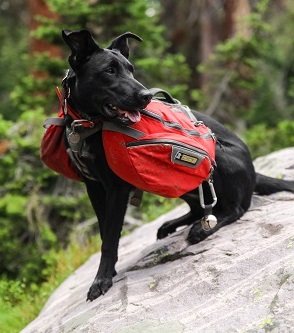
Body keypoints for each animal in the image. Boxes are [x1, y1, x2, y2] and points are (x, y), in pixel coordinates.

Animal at [61, 29, 294, 300]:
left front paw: (101, 280)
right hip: (178, 181)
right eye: (109, 71)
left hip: (215, 158)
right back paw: (175, 224)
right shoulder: (94, 186)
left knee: (235, 208)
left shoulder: (116, 188)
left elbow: (109, 238)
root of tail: (254, 172)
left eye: (131, 69)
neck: (88, 125)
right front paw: (108, 272)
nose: (146, 96)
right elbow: (104, 233)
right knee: (200, 208)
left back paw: (202, 229)